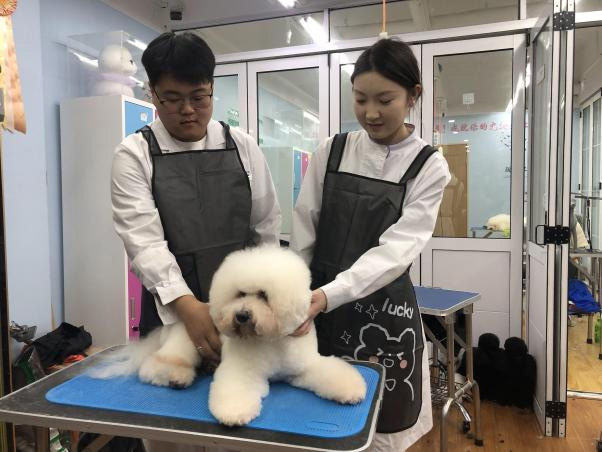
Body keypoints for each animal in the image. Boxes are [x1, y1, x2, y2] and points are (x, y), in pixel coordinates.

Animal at [91, 246, 366, 426]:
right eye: (240, 293)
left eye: (264, 295)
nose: (242, 316)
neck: (271, 341)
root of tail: (173, 321)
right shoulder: (243, 370)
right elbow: (237, 388)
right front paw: (234, 413)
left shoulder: (305, 367)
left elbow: (329, 373)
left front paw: (350, 390)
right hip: (185, 344)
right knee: (155, 366)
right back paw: (176, 377)